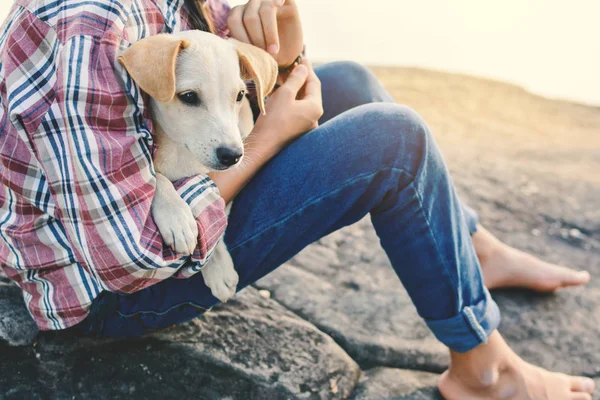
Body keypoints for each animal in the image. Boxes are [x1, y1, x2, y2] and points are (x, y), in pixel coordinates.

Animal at [119, 30, 278, 300]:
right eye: (189, 97)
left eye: (240, 96)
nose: (233, 156)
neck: (182, 151)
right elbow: (157, 177)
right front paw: (177, 217)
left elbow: (219, 214)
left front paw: (219, 266)